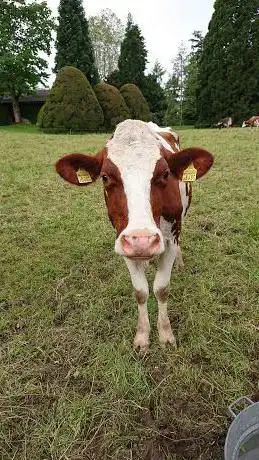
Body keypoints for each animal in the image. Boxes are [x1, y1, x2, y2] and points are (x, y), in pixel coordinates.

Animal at [55, 119, 214, 352]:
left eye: (165, 174)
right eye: (105, 177)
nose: (143, 241)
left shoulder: (169, 238)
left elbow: (161, 289)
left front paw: (165, 334)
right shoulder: (124, 241)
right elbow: (141, 291)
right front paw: (142, 336)